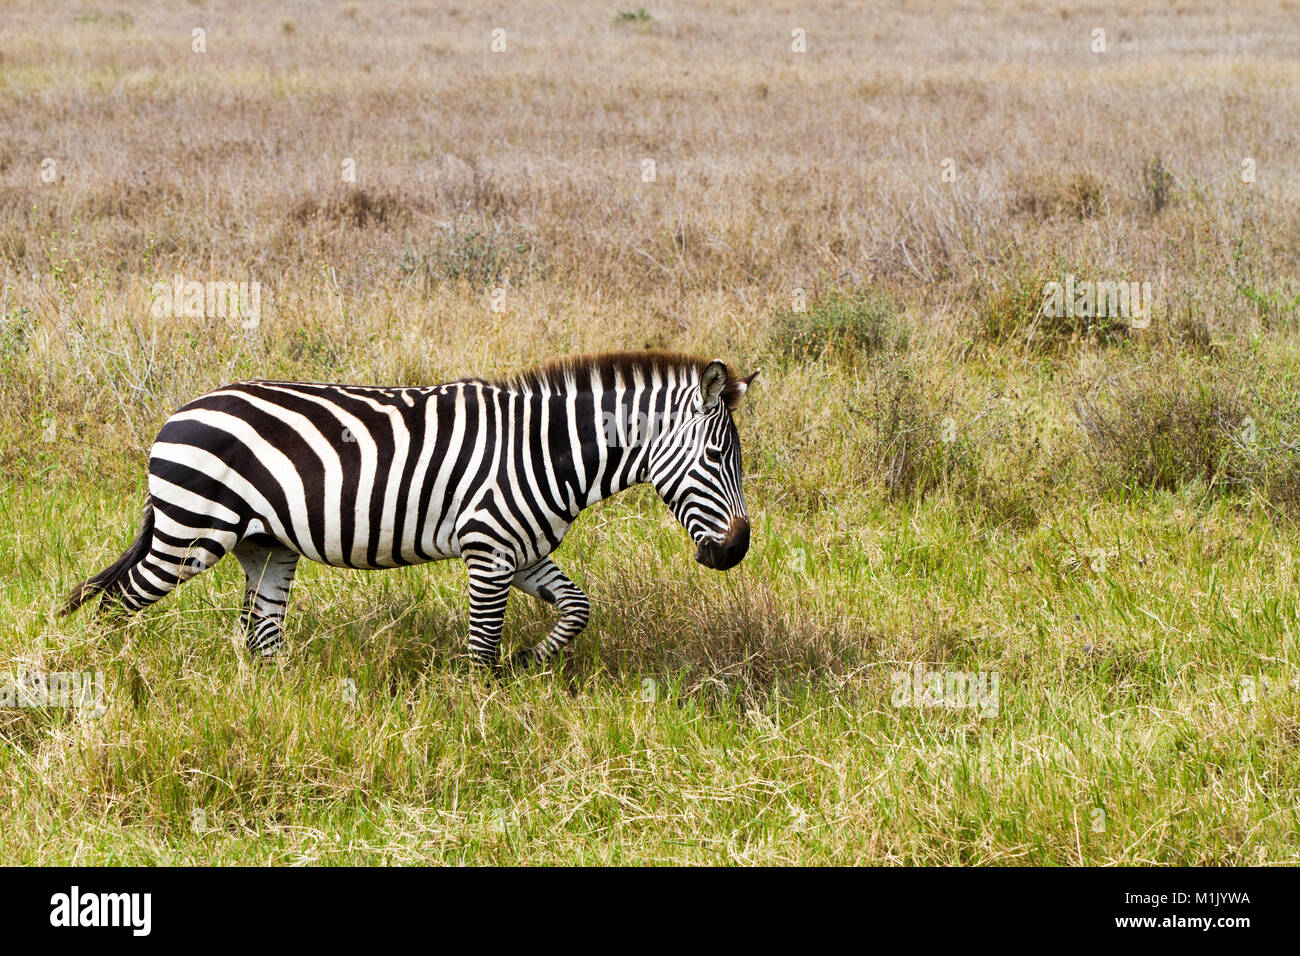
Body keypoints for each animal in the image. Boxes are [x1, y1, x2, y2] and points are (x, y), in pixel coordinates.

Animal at [61, 351, 757, 668]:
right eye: (716, 457)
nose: (737, 550)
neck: (544, 449)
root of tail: (178, 413)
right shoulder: (489, 550)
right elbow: (481, 646)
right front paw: (486, 717)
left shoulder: (524, 552)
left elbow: (578, 608)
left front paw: (535, 661)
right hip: (190, 534)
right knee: (114, 604)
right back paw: (114, 680)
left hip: (264, 546)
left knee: (261, 635)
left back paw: (277, 702)